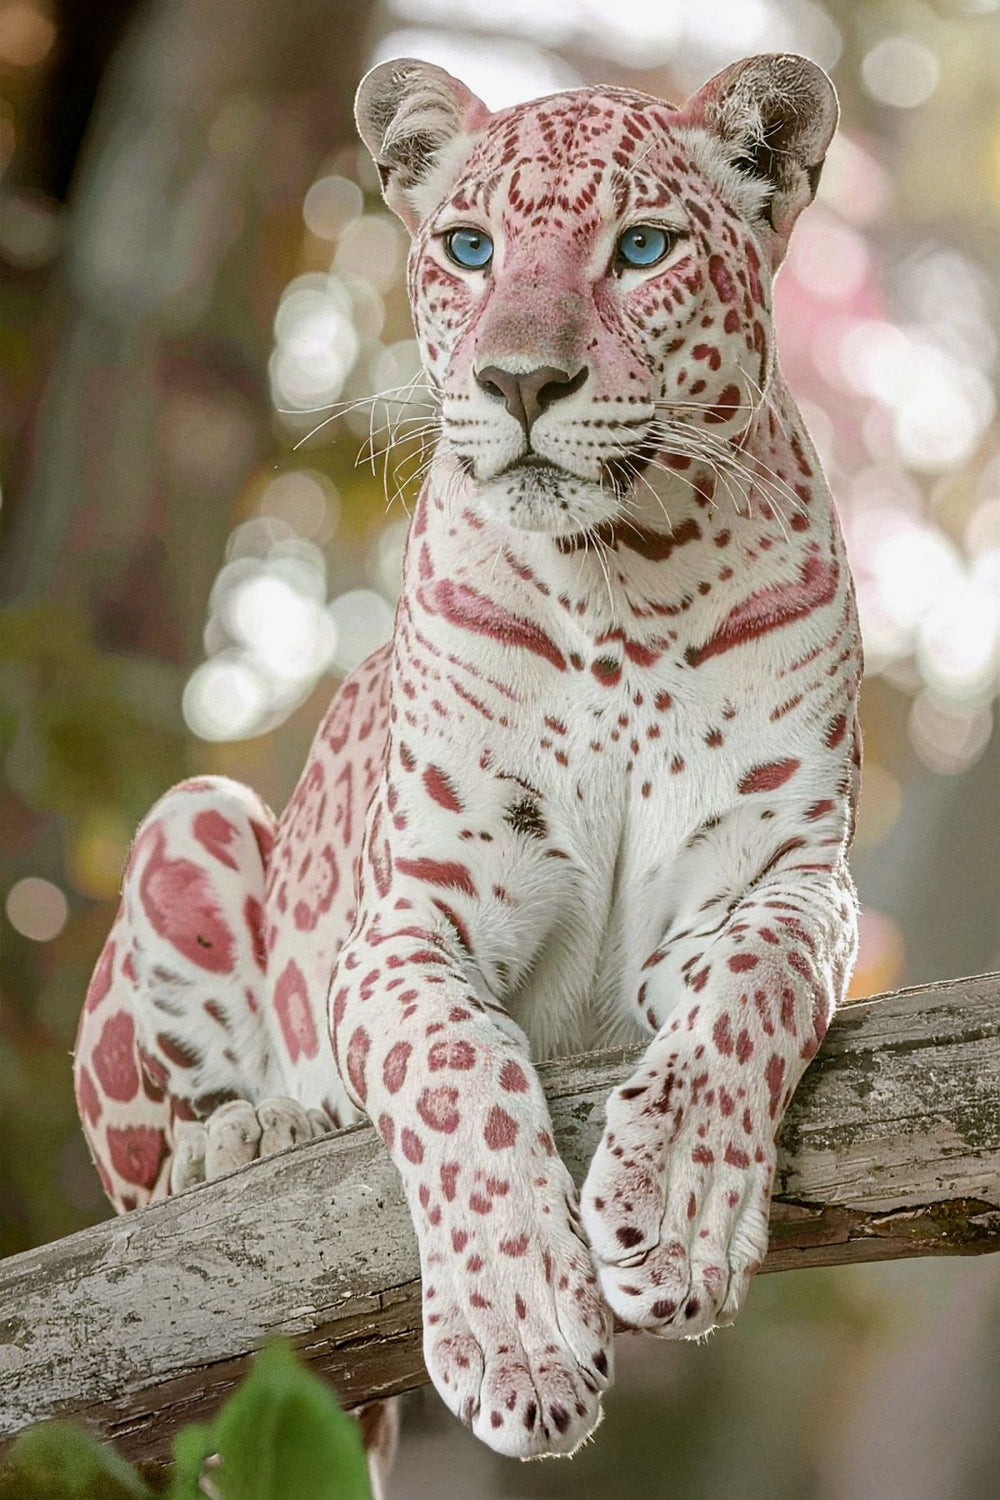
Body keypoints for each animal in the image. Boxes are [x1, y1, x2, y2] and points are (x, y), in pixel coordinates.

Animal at [73, 51, 861, 1473]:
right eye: (468, 247)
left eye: (640, 249)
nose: (521, 383)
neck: (628, 589)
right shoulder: (414, 915)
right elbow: (456, 1076)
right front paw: (519, 1335)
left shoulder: (783, 878)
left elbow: (750, 995)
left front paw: (674, 1211)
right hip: (189, 822)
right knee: (144, 1198)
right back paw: (253, 1135)